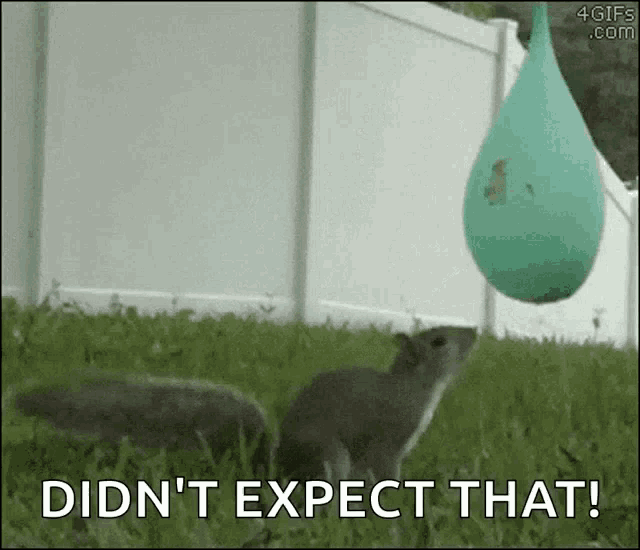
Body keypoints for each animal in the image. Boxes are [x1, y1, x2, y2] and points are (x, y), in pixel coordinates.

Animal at [12, 325, 477, 490]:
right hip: (331, 455)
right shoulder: (387, 440)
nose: (473, 332)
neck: (416, 387)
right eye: (439, 341)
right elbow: (387, 470)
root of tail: (276, 469)